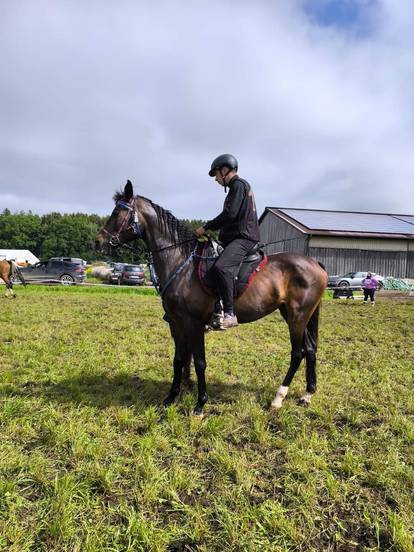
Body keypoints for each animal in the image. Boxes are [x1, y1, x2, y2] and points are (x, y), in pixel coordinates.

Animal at [95, 183, 328, 416]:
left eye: (117, 212)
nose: (98, 241)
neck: (181, 262)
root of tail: (314, 262)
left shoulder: (194, 323)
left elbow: (199, 362)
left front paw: (200, 405)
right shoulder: (178, 323)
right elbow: (179, 360)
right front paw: (171, 398)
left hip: (297, 317)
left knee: (297, 352)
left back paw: (278, 398)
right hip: (292, 314)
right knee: (309, 349)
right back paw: (307, 394)